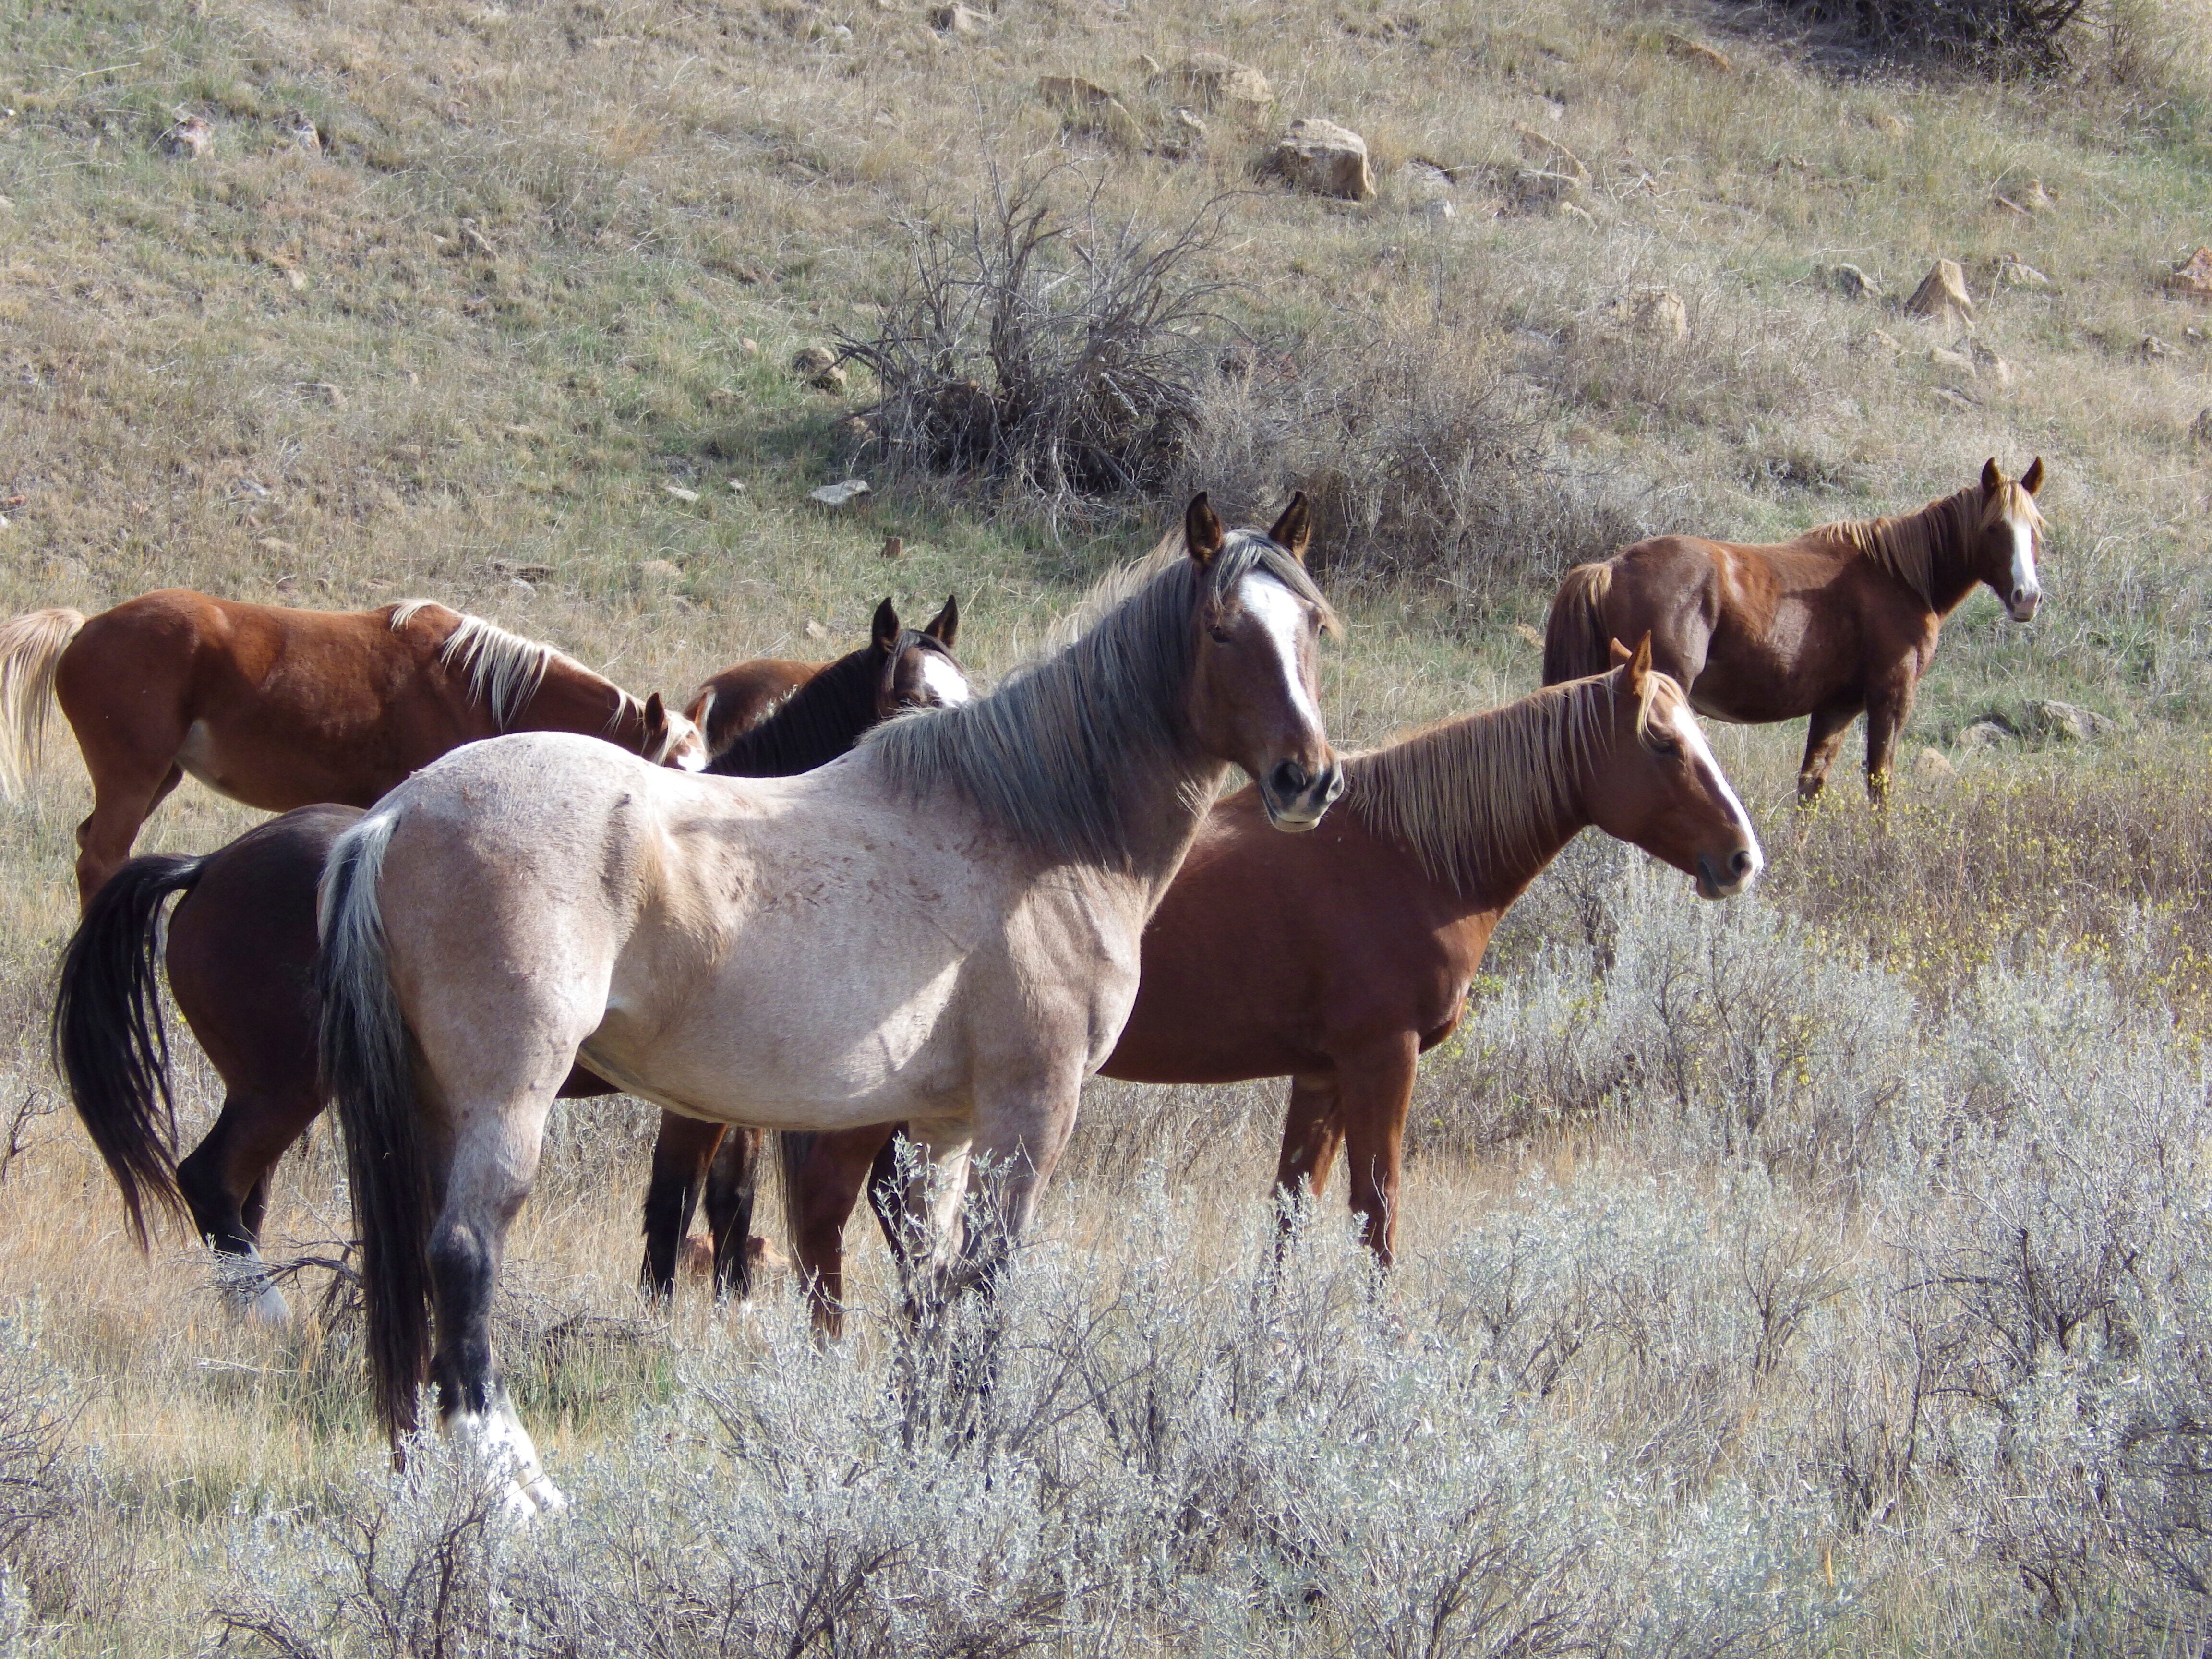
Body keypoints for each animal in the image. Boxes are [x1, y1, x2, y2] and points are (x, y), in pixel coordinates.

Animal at [0, 592, 708, 911]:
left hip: (157, 780)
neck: (481, 689)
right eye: (667, 772)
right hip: (134, 776)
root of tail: (86, 628)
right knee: (100, 858)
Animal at [318, 491, 1336, 1504]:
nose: (1309, 779)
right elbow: (987, 1285)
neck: (1036, 827)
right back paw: (516, 1490)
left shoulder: (943, 1127)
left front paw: (923, 1458)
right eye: (1221, 630)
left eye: (1313, 626)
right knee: (462, 1253)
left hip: (435, 1105)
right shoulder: (1030, 1110)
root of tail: (396, 813)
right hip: (508, 1096)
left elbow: (929, 1288)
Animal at [743, 637, 1760, 1336]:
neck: (1406, 855)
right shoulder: (1381, 1063)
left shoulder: (1321, 1075)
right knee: (824, 1212)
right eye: (1662, 745)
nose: (1741, 858)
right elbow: (1377, 1215)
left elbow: (1289, 1213)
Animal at [1548, 457, 2044, 801]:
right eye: (1995, 528)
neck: (1899, 578)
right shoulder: (1892, 696)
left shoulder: (1837, 708)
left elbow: (1812, 785)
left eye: (2036, 529)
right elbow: (1880, 782)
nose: (2027, 597)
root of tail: (1611, 568)